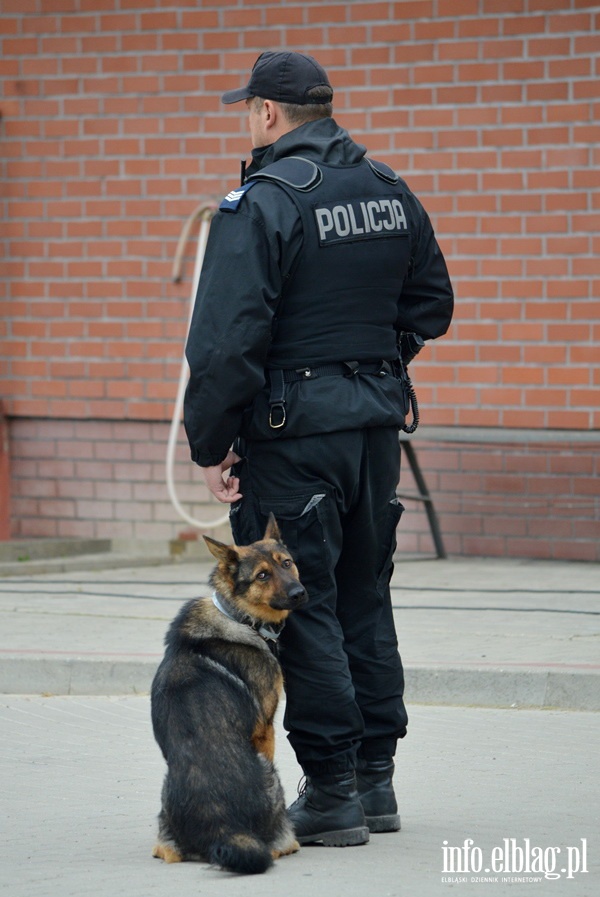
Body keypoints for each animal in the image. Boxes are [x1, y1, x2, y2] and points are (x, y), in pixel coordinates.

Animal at [152, 516, 308, 872]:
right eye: (262, 575)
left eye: (286, 563)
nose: (299, 594)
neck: (236, 616)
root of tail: (222, 824)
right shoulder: (265, 731)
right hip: (271, 777)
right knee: (279, 845)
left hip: (165, 797)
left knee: (166, 849)